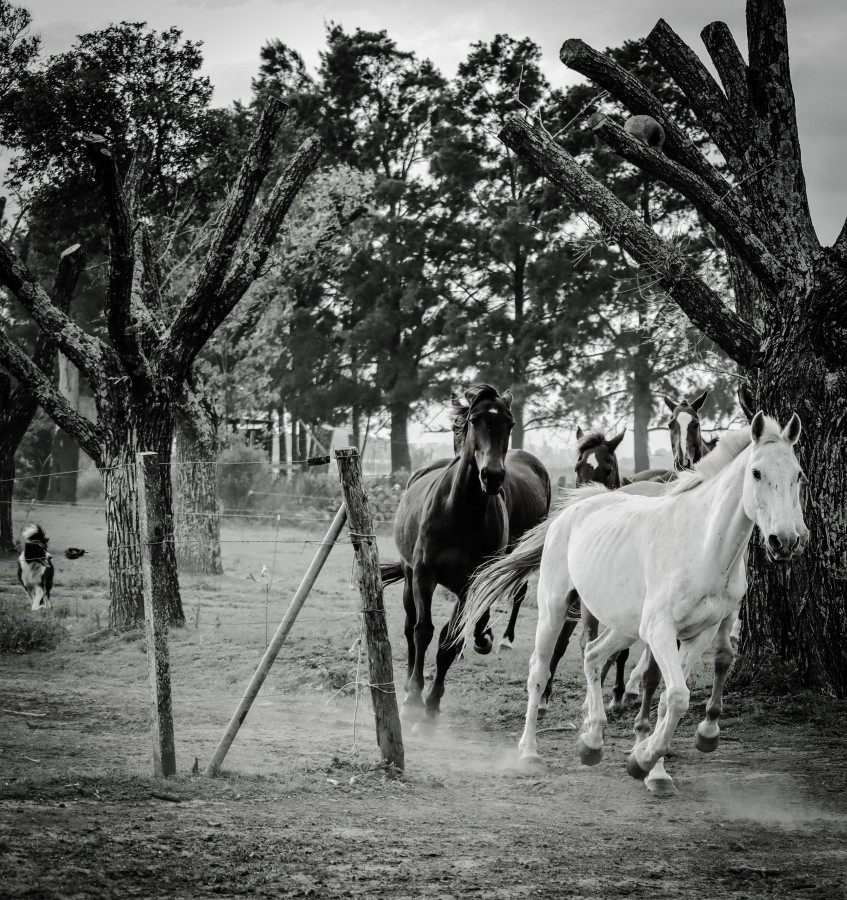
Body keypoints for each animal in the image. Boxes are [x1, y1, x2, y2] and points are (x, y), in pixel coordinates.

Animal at [464, 414, 808, 796]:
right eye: (756, 473)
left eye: (798, 475)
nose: (785, 541)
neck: (703, 545)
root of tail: (575, 509)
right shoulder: (660, 631)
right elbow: (676, 696)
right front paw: (642, 761)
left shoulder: (697, 634)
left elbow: (668, 699)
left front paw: (654, 771)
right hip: (555, 609)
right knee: (539, 671)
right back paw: (529, 753)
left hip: (625, 626)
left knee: (593, 655)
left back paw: (592, 743)